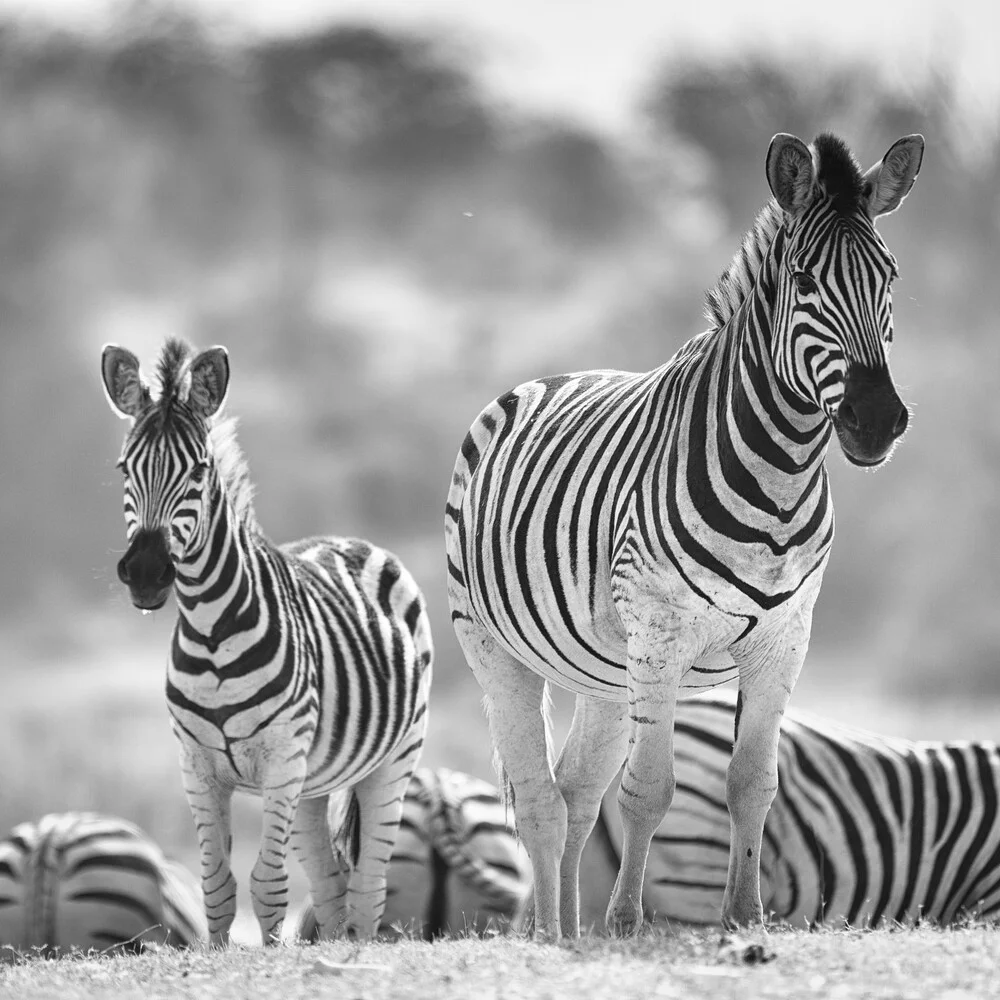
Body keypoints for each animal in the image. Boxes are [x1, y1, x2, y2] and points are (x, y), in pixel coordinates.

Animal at [97, 338, 434, 944]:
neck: (212, 633)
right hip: (314, 782)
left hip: (393, 760)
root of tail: (352, 539)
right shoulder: (197, 768)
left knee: (368, 886)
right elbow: (216, 886)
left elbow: (269, 887)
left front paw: (272, 953)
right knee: (330, 885)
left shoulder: (281, 760)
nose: (146, 573)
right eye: (124, 468)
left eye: (199, 470)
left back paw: (357, 946)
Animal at [446, 131, 920, 936]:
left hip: (606, 671)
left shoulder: (785, 639)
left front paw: (744, 916)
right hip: (496, 648)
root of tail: (541, 380)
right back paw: (550, 934)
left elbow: (753, 782)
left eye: (888, 276)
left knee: (576, 794)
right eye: (803, 280)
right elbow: (650, 789)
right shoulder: (663, 633)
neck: (780, 478)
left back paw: (569, 934)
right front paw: (627, 923)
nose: (877, 421)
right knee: (541, 801)